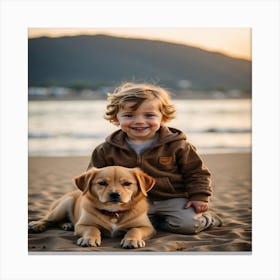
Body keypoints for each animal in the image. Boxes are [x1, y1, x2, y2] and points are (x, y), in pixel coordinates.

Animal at [28, 165, 156, 248]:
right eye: (102, 183)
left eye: (127, 183)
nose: (114, 194)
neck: (113, 212)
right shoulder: (81, 225)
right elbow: (92, 228)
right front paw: (89, 238)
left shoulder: (148, 227)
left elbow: (135, 229)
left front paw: (131, 240)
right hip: (64, 205)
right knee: (49, 219)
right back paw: (37, 225)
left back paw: (67, 224)